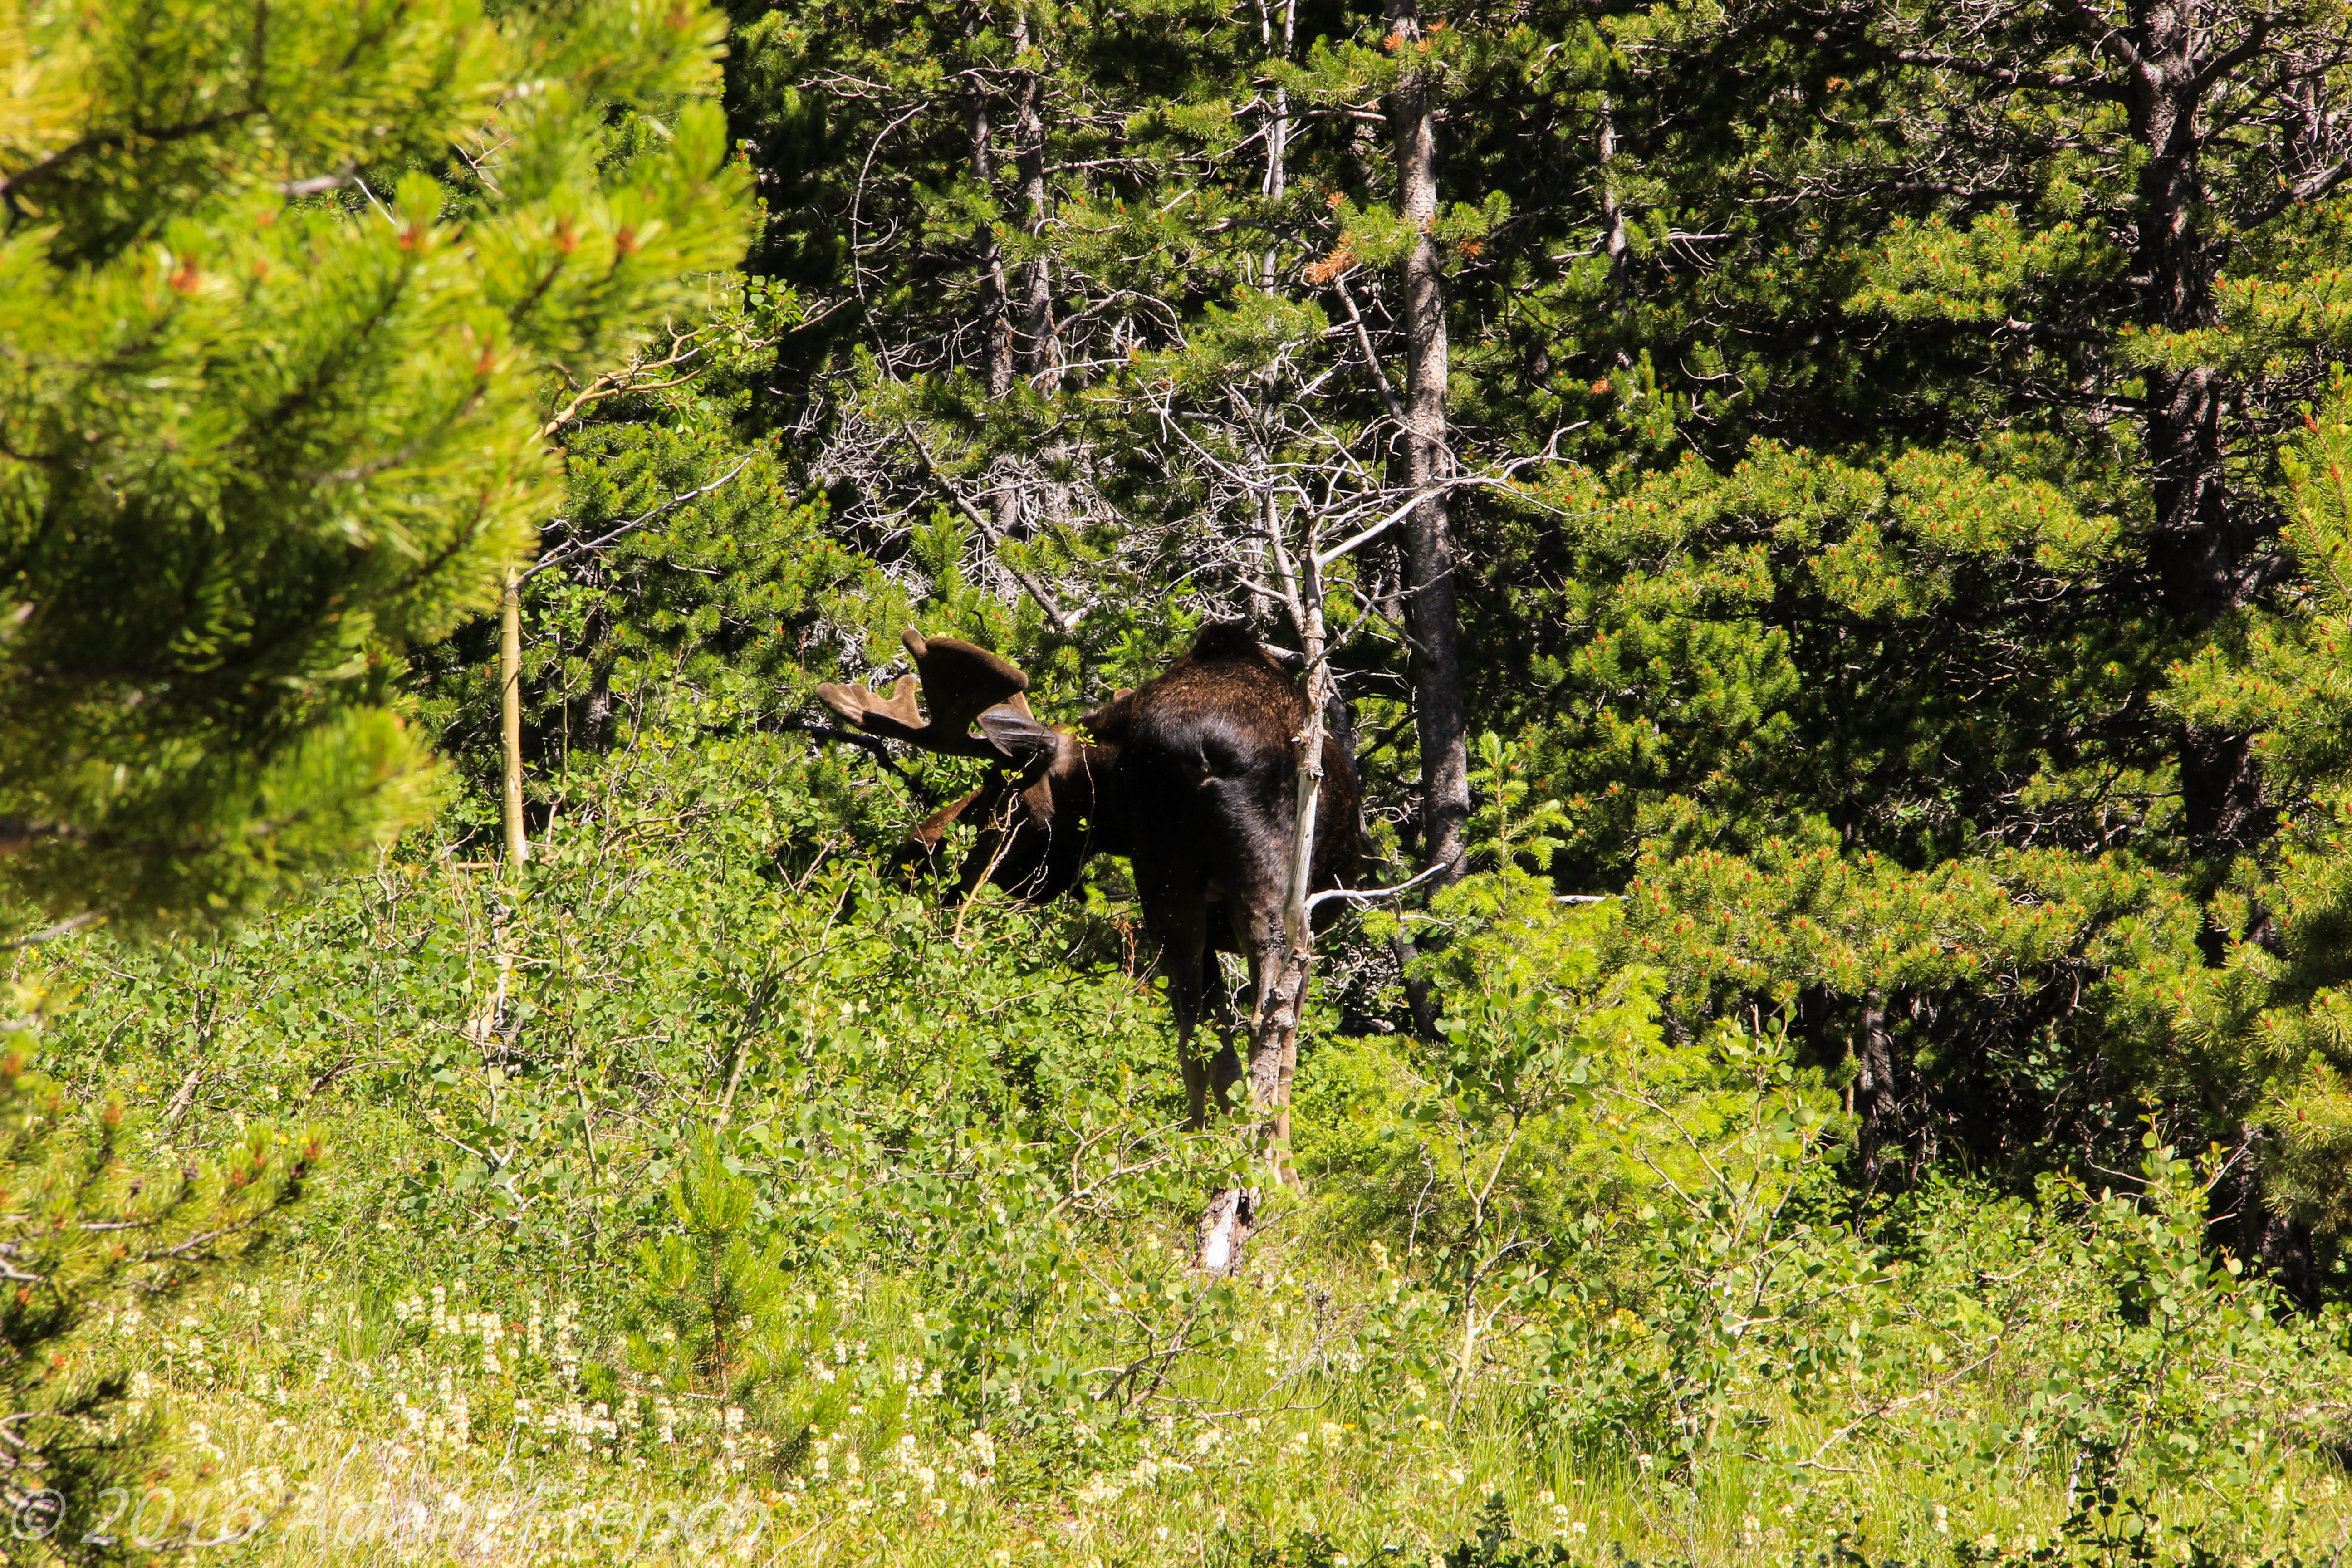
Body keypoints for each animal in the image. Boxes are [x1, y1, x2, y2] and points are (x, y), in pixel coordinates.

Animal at [823, 620, 1364, 1128]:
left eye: (999, 786)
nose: (916, 851)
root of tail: (1208, 753)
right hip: (1271, 897)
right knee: (1274, 1021)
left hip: (1172, 883)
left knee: (1207, 1028)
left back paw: (1209, 1148)